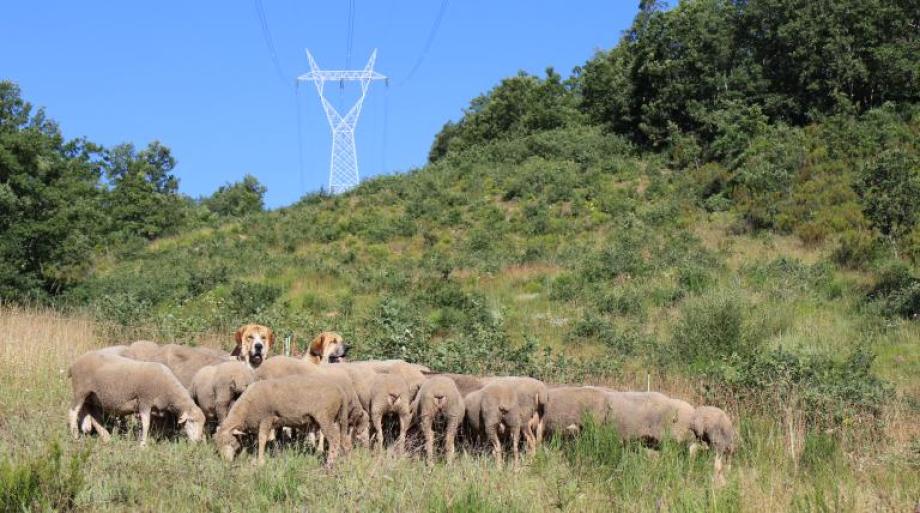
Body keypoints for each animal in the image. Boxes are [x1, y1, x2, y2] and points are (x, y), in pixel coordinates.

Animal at [68, 351, 205, 446]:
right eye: (192, 421)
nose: (198, 441)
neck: (167, 390)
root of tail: (75, 364)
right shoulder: (145, 400)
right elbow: (146, 423)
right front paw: (143, 444)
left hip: (93, 397)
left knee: (94, 415)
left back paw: (105, 437)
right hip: (80, 390)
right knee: (73, 412)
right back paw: (75, 436)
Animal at [215, 374, 348, 468]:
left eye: (228, 441)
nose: (225, 463)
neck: (246, 409)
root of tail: (341, 392)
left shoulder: (267, 417)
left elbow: (262, 438)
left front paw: (260, 461)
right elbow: (269, 440)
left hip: (325, 417)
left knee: (334, 438)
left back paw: (329, 463)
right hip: (333, 418)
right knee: (338, 437)